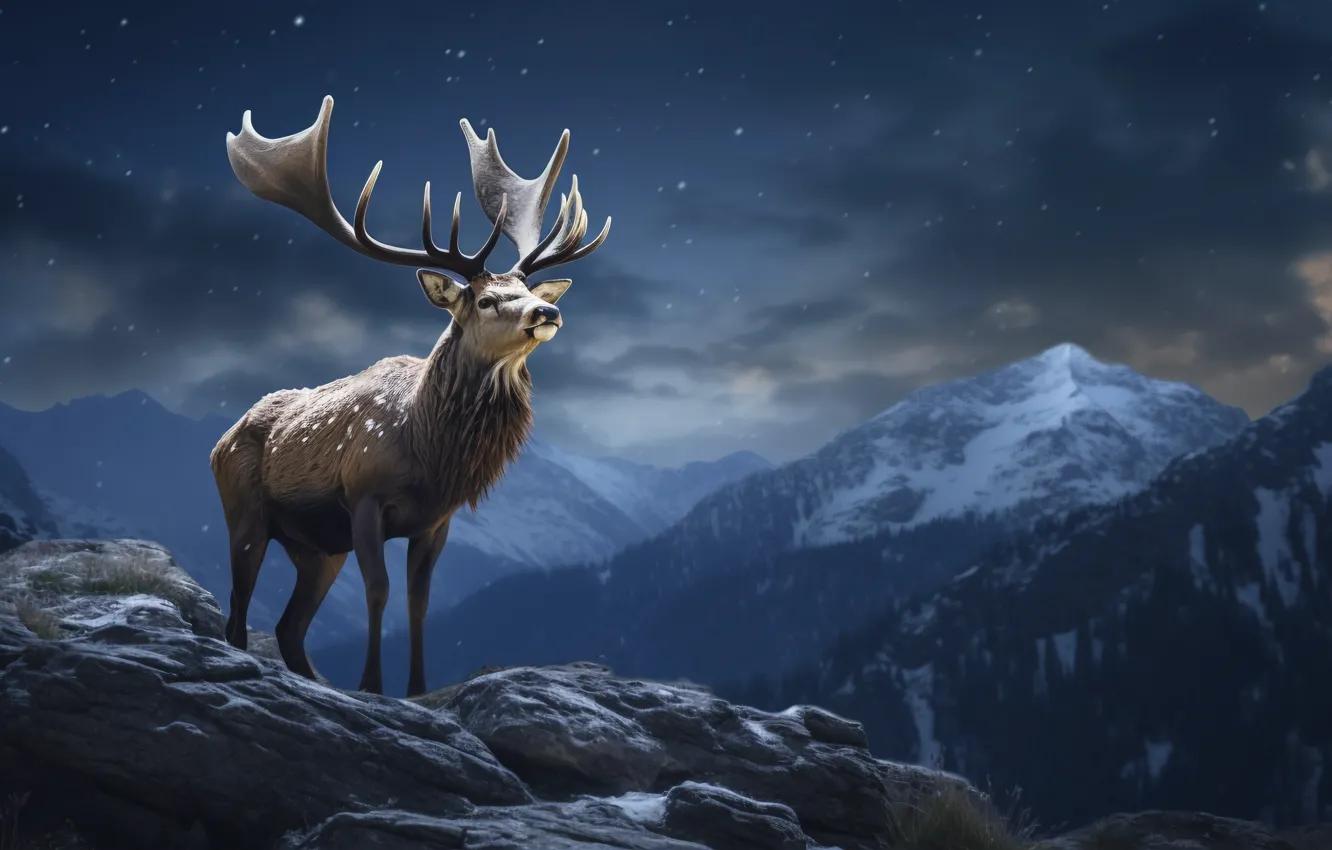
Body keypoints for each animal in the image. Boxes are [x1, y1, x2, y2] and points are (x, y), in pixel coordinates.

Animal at [209, 95, 610, 697]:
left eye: (523, 289)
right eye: (487, 300)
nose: (548, 311)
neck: (429, 449)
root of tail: (218, 443)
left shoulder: (436, 521)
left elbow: (419, 602)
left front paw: (416, 691)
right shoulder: (364, 498)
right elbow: (378, 590)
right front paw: (372, 685)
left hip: (317, 547)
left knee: (288, 628)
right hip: (245, 512)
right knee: (238, 613)